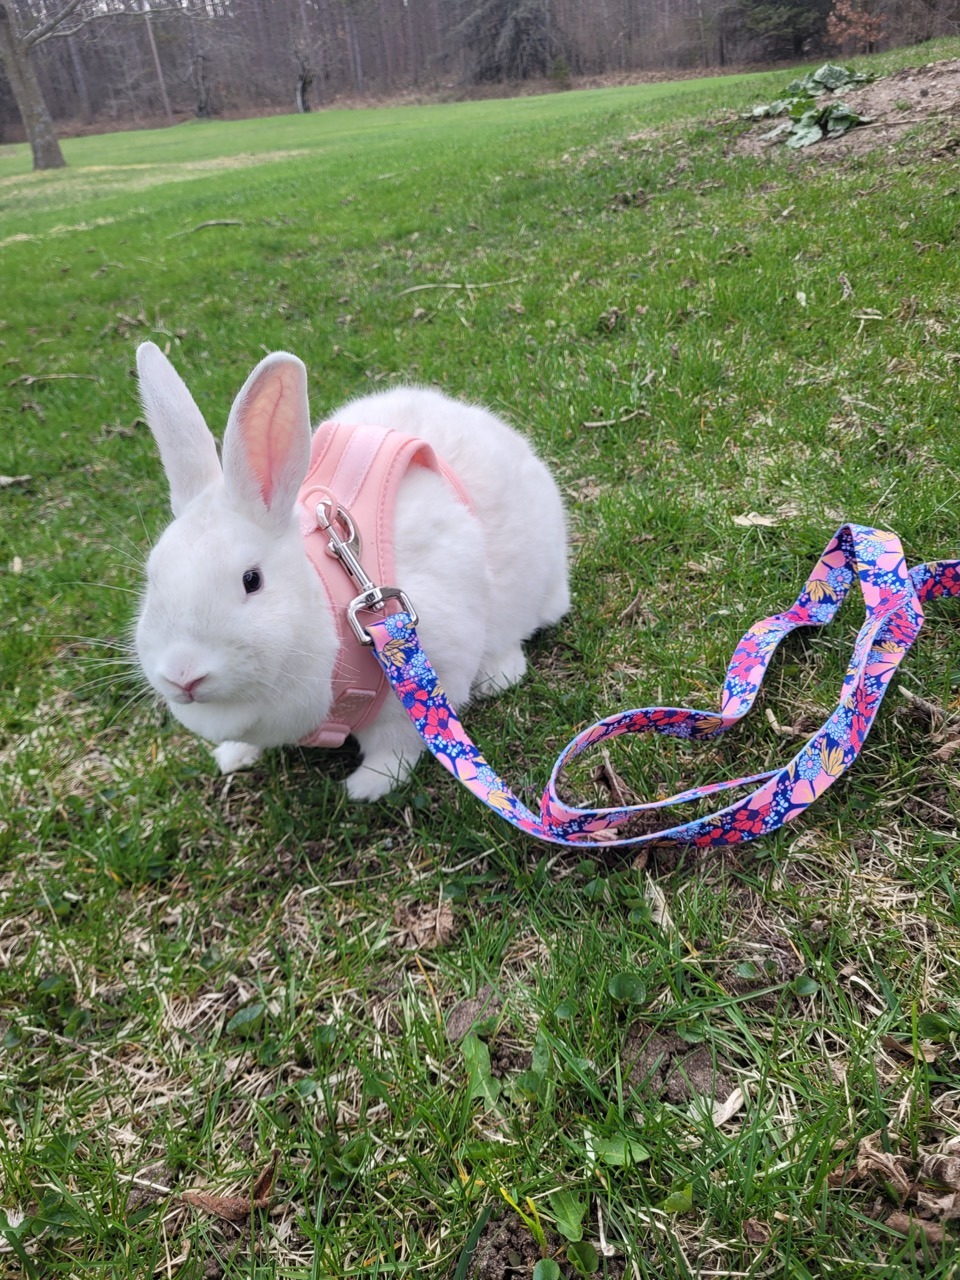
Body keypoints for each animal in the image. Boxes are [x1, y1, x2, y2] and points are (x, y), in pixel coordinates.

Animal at [133, 342, 570, 800]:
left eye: (252, 580)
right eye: (152, 577)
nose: (182, 674)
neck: (329, 595)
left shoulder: (424, 678)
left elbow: (397, 743)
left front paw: (367, 785)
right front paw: (233, 755)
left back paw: (499, 673)